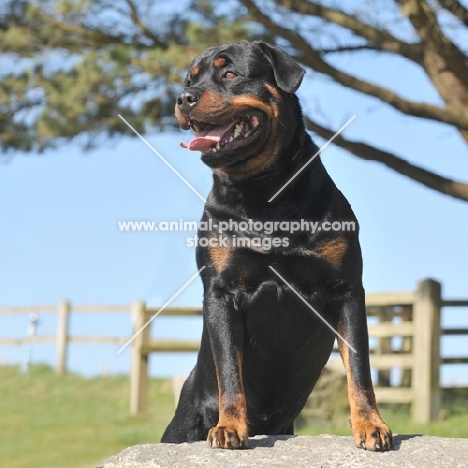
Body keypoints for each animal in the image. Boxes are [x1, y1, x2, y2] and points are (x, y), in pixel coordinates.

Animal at [161, 41, 392, 454]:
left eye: (230, 74)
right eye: (190, 80)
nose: (184, 98)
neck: (262, 192)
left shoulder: (346, 289)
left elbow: (359, 368)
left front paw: (371, 425)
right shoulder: (221, 291)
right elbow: (229, 371)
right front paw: (229, 427)